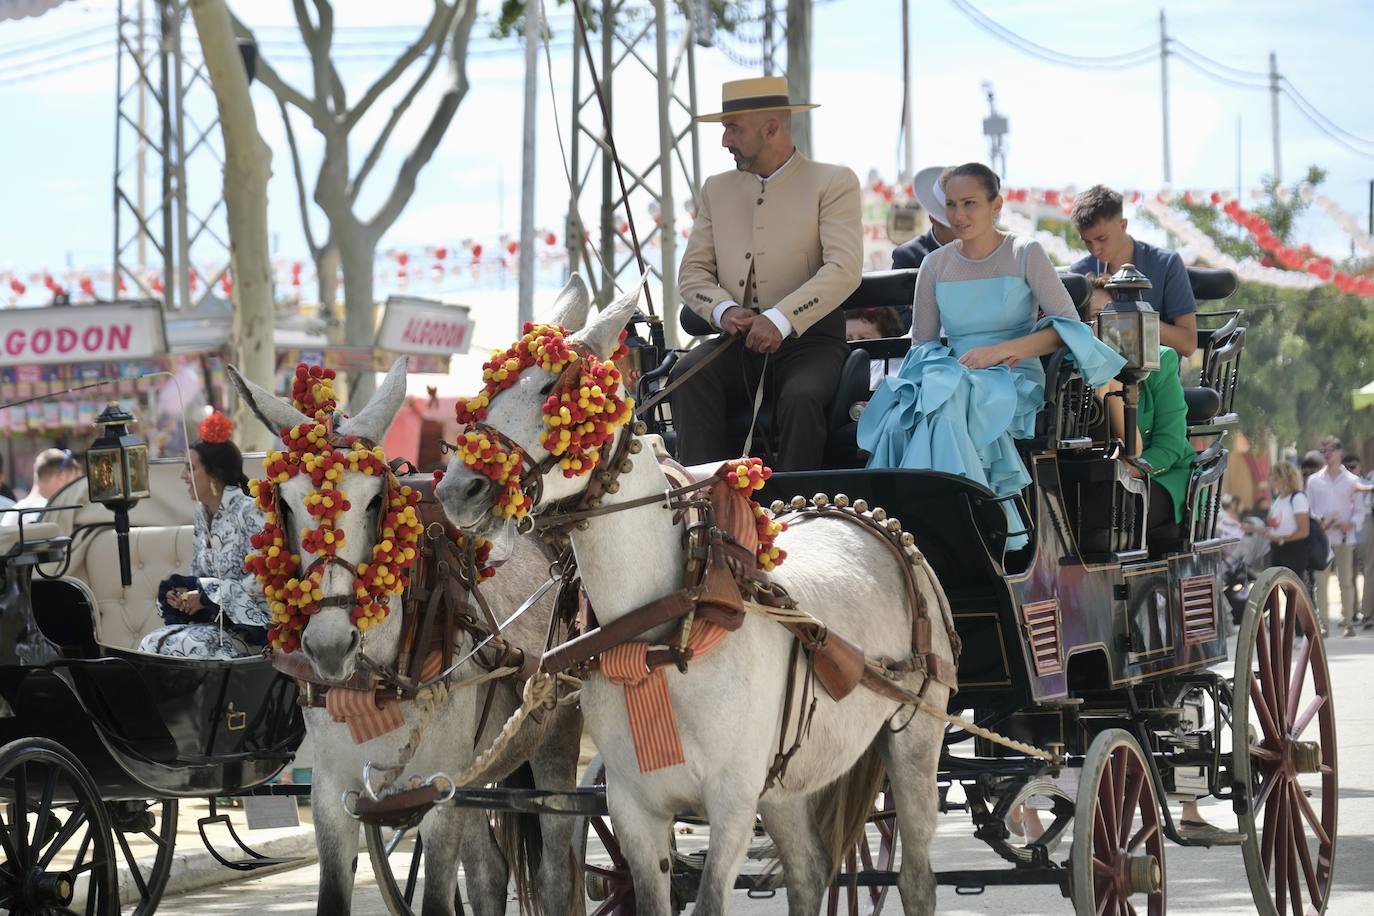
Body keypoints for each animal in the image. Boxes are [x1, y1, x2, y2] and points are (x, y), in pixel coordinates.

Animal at [232, 354, 585, 916]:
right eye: (283, 503)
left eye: (376, 499)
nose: (329, 646)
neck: (382, 678)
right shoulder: (333, 796)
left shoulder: (439, 793)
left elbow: (438, 899)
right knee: (488, 871)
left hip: (556, 740)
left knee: (555, 870)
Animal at [439, 280, 956, 916]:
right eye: (488, 391)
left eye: (548, 391)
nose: (458, 490)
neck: (664, 625)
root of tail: (864, 517)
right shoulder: (635, 810)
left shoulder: (731, 804)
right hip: (783, 783)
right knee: (809, 872)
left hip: (916, 737)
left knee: (915, 877)